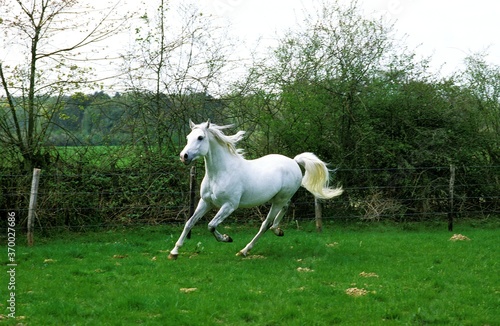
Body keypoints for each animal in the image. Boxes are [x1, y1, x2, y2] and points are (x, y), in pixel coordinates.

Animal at [168, 120, 344, 260]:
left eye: (200, 137)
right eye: (188, 137)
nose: (184, 156)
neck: (220, 173)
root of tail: (294, 161)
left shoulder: (229, 205)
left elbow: (211, 226)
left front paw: (227, 238)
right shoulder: (206, 202)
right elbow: (189, 223)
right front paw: (174, 252)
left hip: (278, 200)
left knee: (265, 224)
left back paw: (244, 250)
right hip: (278, 198)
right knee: (285, 209)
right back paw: (278, 230)